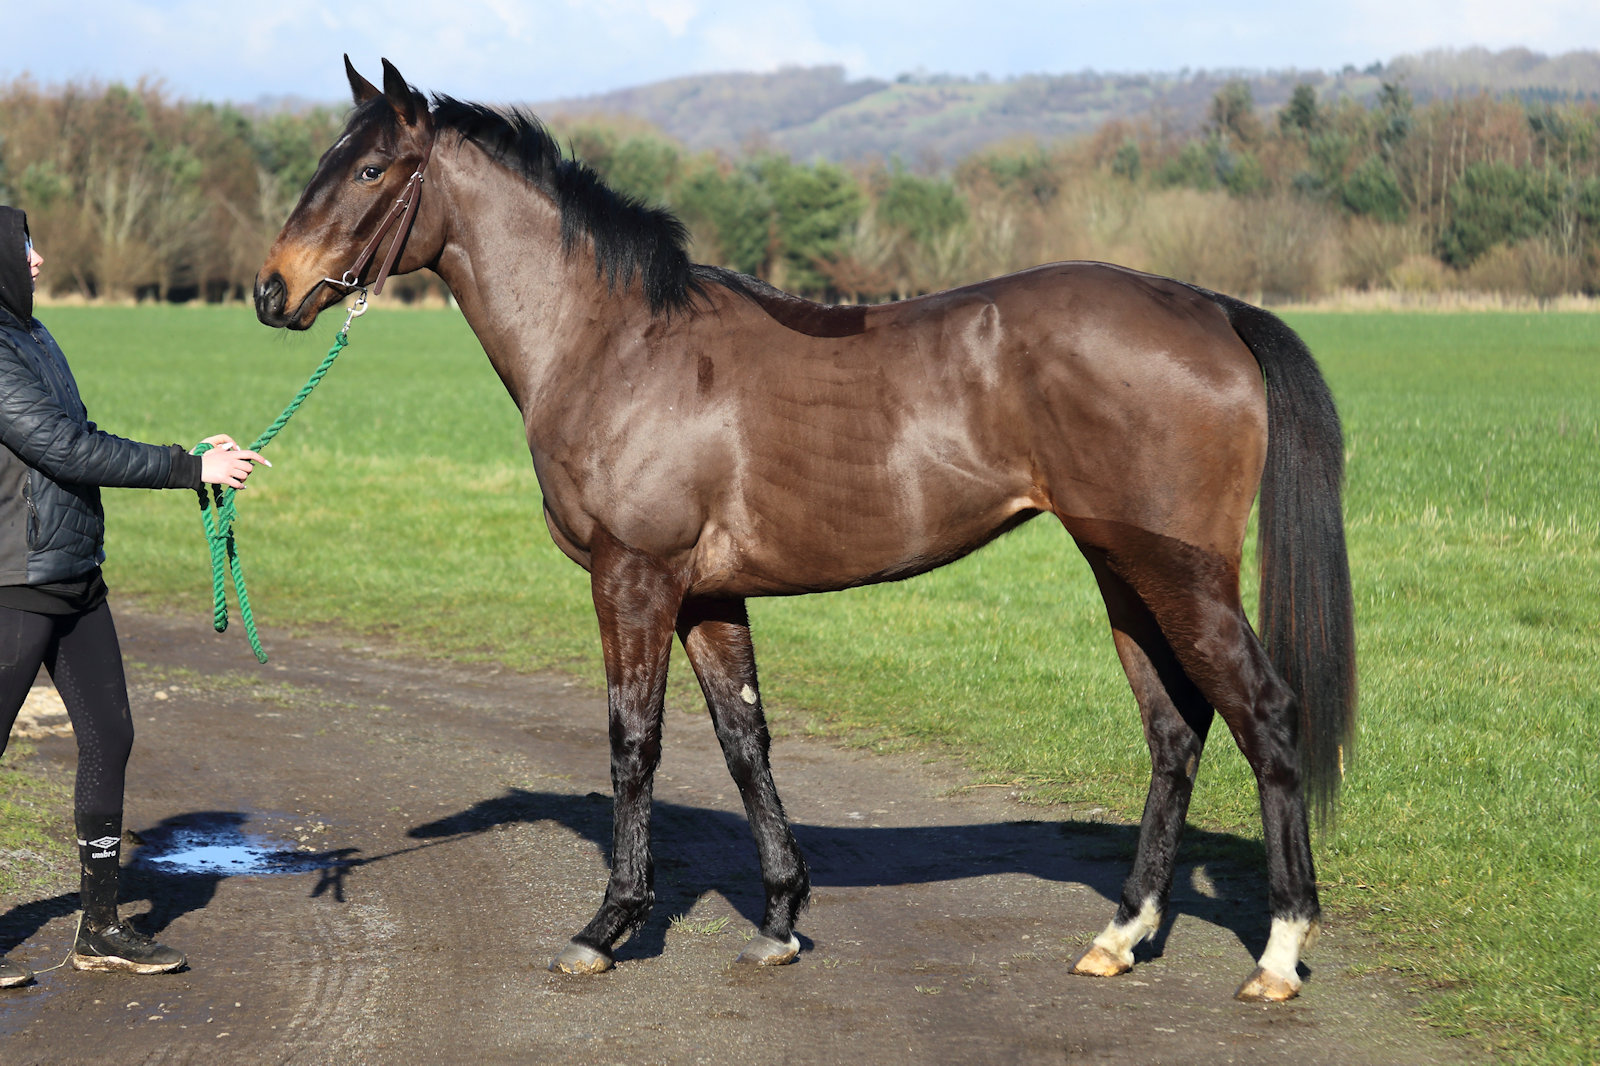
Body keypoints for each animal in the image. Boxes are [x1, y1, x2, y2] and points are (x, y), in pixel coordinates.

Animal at [256, 62, 1356, 998]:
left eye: (368, 168)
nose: (273, 290)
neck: (616, 342)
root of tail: (1207, 307)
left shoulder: (635, 577)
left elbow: (632, 740)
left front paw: (607, 926)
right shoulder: (706, 594)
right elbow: (744, 738)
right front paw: (780, 920)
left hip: (1180, 573)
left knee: (1265, 713)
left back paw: (1277, 950)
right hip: (1119, 568)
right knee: (1174, 729)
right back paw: (1120, 935)